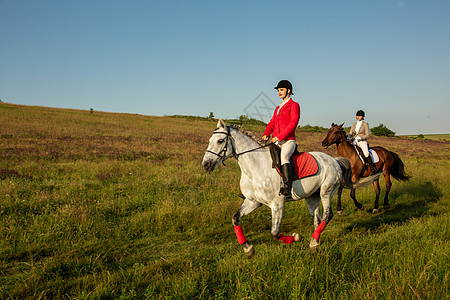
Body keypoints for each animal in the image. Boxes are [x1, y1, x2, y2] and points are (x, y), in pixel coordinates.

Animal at [203, 119, 356, 258]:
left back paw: (313, 242)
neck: (254, 168)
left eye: (220, 141)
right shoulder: (253, 201)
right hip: (312, 197)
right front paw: (248, 248)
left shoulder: (277, 204)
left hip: (326, 192)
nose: (206, 164)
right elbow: (236, 218)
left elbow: (275, 233)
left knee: (327, 215)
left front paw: (297, 237)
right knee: (317, 219)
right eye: (210, 140)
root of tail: (335, 160)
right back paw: (314, 243)